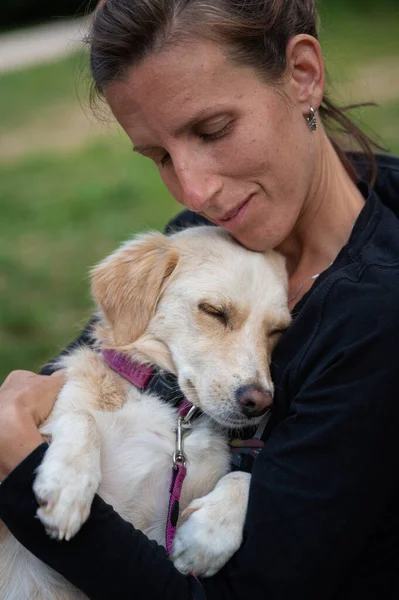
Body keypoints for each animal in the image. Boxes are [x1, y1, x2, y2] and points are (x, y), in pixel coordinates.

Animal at [0, 226, 290, 600]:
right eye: (213, 311)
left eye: (277, 331)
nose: (260, 402)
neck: (167, 406)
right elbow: (83, 417)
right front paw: (67, 487)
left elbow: (245, 476)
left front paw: (207, 538)